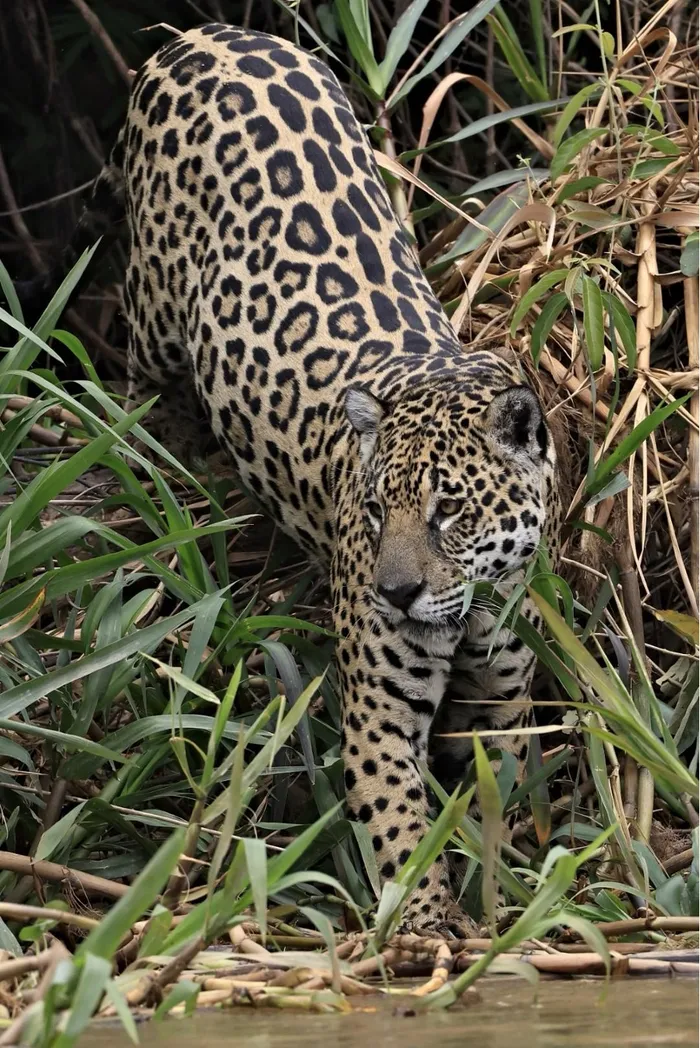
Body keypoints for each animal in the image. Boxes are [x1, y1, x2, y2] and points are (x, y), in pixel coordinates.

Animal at [16, 23, 561, 935]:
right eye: (374, 512)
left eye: (449, 510)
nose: (395, 595)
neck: (477, 600)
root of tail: (200, 36)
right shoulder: (379, 715)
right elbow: (401, 828)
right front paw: (427, 934)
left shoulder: (504, 685)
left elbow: (501, 786)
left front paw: (511, 885)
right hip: (157, 311)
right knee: (140, 376)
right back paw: (161, 468)